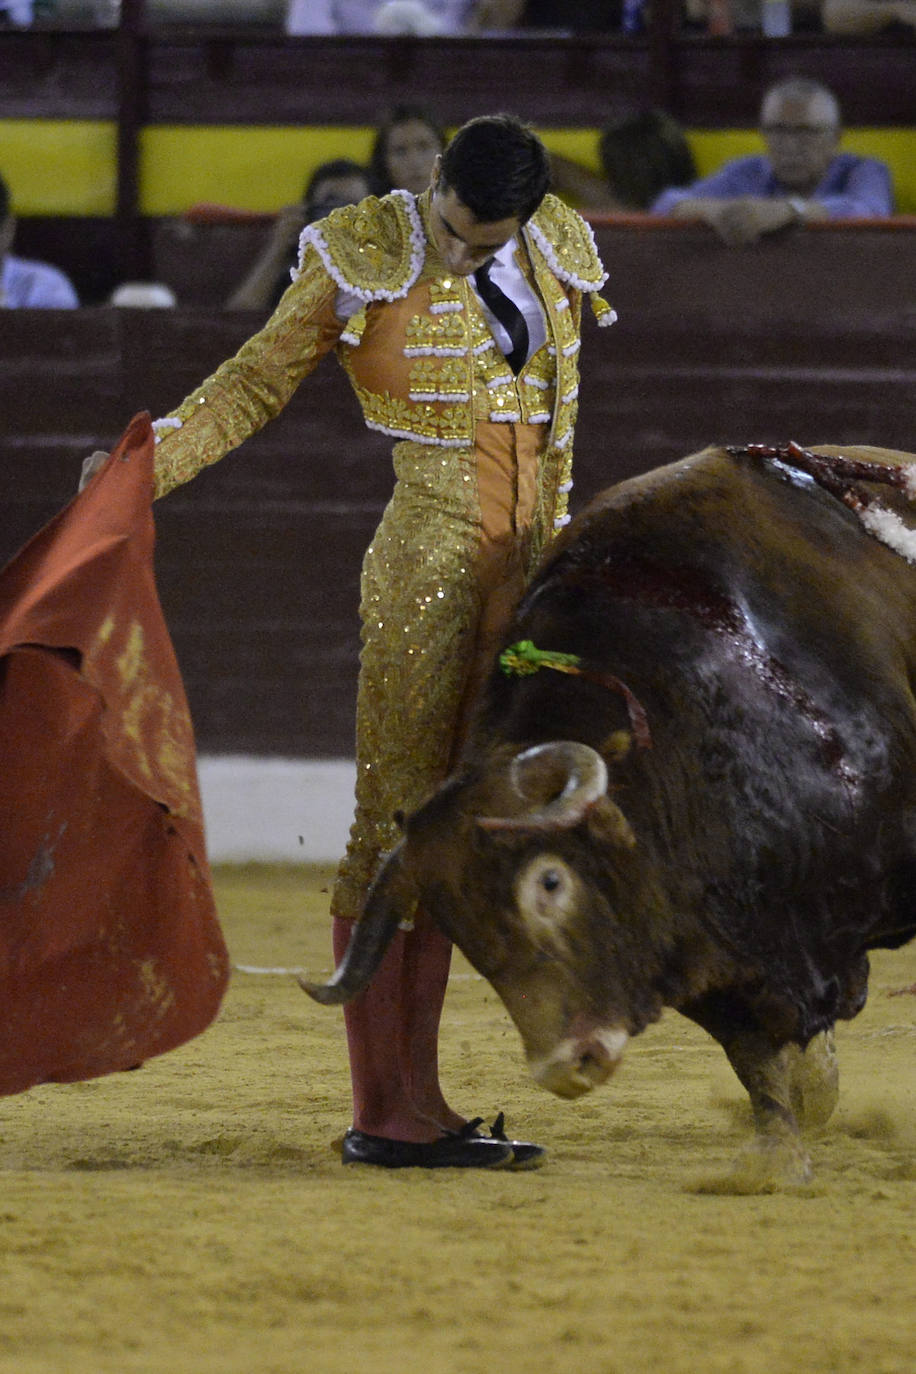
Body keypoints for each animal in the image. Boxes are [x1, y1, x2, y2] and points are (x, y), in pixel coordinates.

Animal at [302, 445, 916, 1187]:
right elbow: (757, 1059)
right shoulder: (694, 933)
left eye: (550, 882)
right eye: (460, 928)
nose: (566, 1067)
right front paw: (775, 1160)